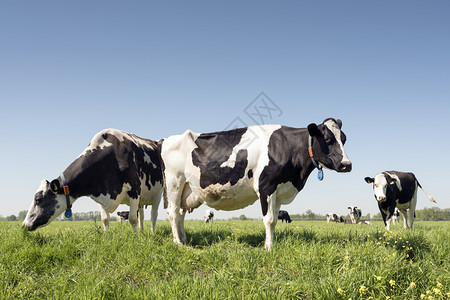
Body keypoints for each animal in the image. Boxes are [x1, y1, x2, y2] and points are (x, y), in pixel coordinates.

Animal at [22, 128, 163, 232]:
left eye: (38, 199)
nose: (24, 224)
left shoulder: (134, 188)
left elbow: (132, 218)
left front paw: (135, 239)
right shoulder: (100, 192)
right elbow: (105, 219)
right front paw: (107, 238)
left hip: (157, 194)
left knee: (153, 215)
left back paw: (152, 233)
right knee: (142, 217)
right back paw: (142, 232)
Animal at [159, 118, 352, 250]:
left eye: (344, 139)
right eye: (327, 140)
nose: (347, 164)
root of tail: (165, 140)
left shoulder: (279, 191)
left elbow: (274, 220)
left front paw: (269, 244)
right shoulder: (266, 186)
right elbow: (269, 220)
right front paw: (269, 248)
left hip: (186, 189)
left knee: (180, 214)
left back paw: (184, 241)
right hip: (175, 181)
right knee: (173, 213)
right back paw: (178, 244)